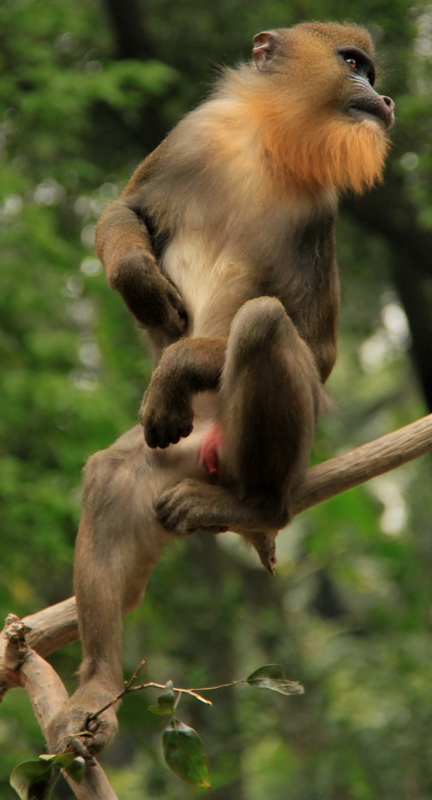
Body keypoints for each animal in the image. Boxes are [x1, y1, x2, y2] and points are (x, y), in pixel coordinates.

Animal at [48, 21, 394, 760]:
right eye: (351, 63)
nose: (381, 98)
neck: (268, 139)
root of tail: (213, 448)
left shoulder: (319, 217)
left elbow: (312, 346)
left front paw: (177, 366)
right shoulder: (193, 136)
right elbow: (126, 209)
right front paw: (142, 285)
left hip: (267, 446)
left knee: (262, 327)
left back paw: (254, 505)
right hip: (169, 456)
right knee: (113, 479)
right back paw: (96, 689)